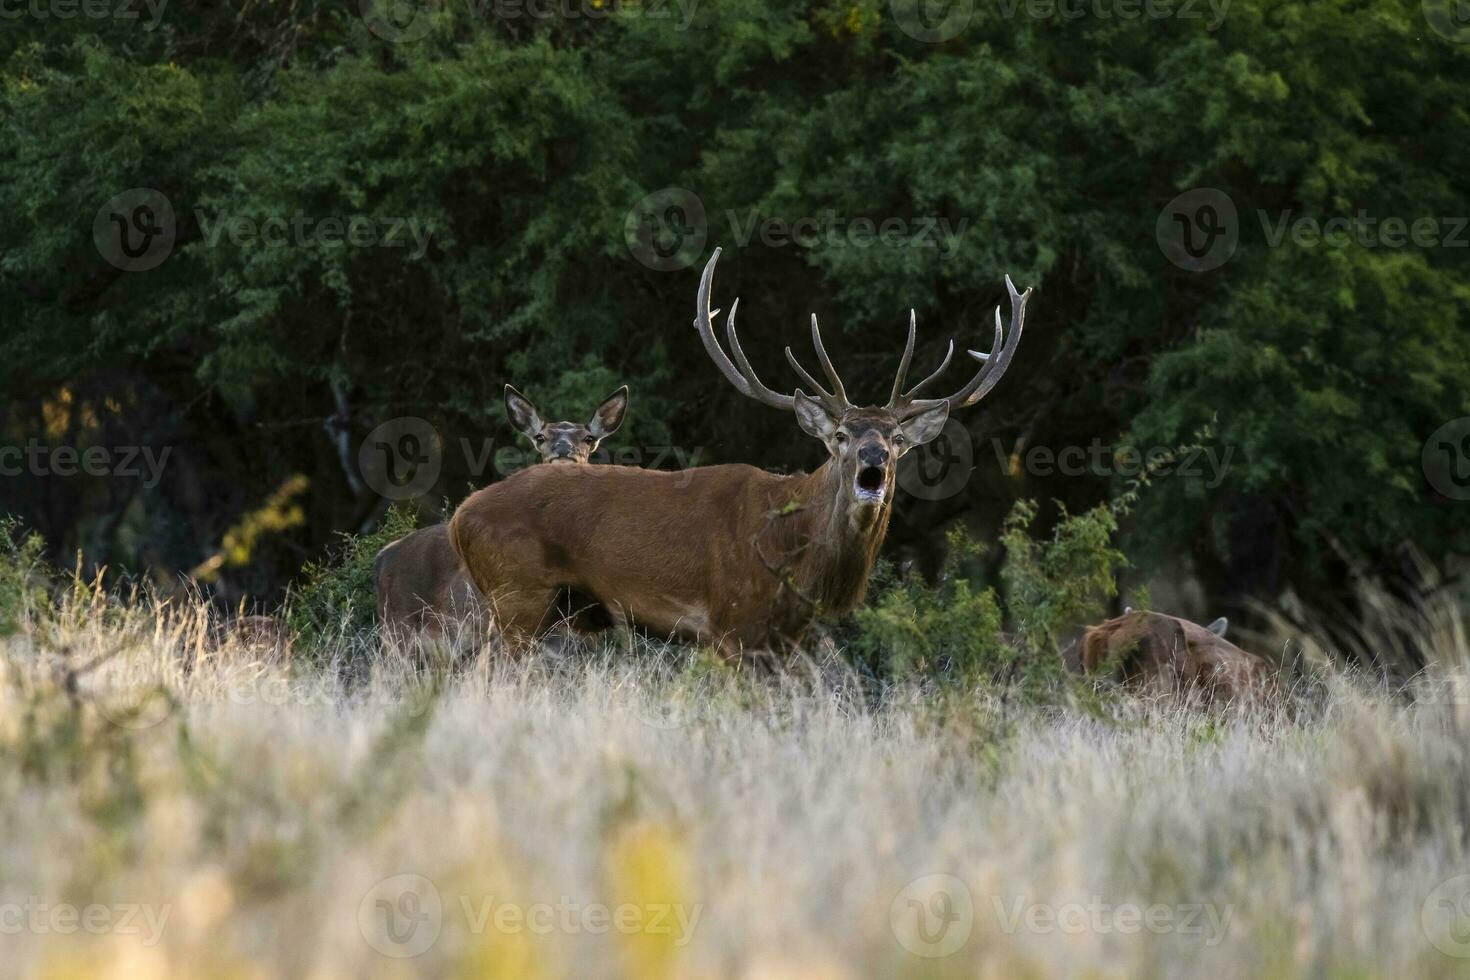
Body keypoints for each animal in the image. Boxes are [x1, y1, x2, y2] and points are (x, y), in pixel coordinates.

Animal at [449, 245, 1034, 664]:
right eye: (841, 436)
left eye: (896, 439)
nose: (873, 462)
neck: (794, 553)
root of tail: (459, 518)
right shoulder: (731, 623)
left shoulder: (786, 639)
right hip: (517, 594)